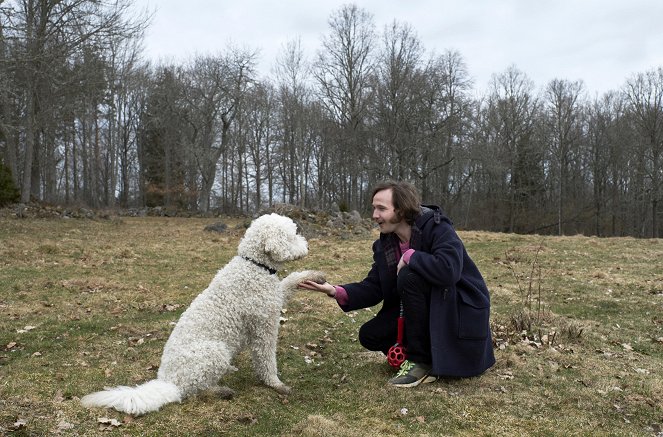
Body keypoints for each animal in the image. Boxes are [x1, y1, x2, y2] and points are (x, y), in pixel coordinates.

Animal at [81, 214, 326, 416]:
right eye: (293, 235)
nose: (307, 245)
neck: (255, 265)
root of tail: (168, 381)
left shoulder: (275, 297)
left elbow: (291, 280)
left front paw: (313, 275)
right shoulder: (263, 326)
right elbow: (266, 360)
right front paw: (275, 384)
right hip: (214, 352)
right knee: (195, 390)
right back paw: (221, 391)